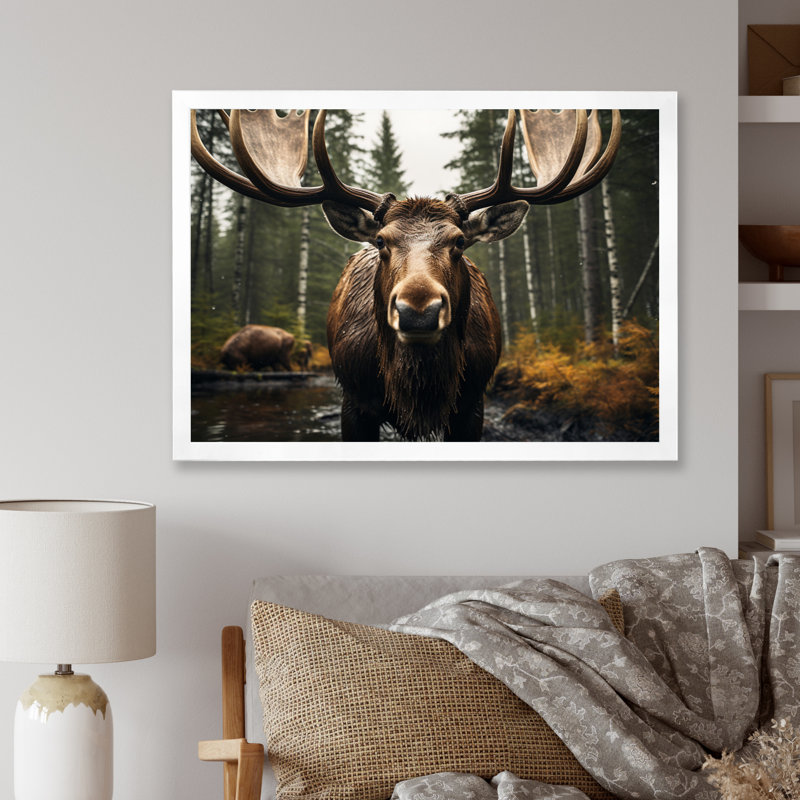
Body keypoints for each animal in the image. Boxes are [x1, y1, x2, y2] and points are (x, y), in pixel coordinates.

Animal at [191, 107, 621, 441]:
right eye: (382, 241)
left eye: (460, 242)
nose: (418, 311)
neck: (419, 392)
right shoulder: (354, 402)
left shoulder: (472, 405)